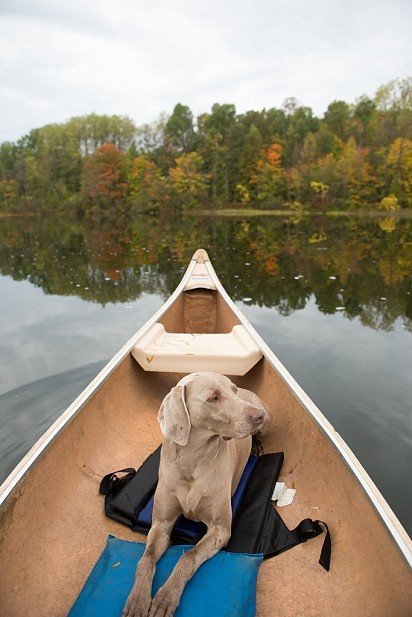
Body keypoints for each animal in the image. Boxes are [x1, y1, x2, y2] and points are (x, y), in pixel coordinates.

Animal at [122, 370, 270, 616]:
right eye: (213, 398)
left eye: (233, 391)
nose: (258, 415)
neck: (192, 460)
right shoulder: (161, 524)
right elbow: (146, 559)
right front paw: (138, 599)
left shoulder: (220, 530)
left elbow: (188, 557)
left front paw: (166, 597)